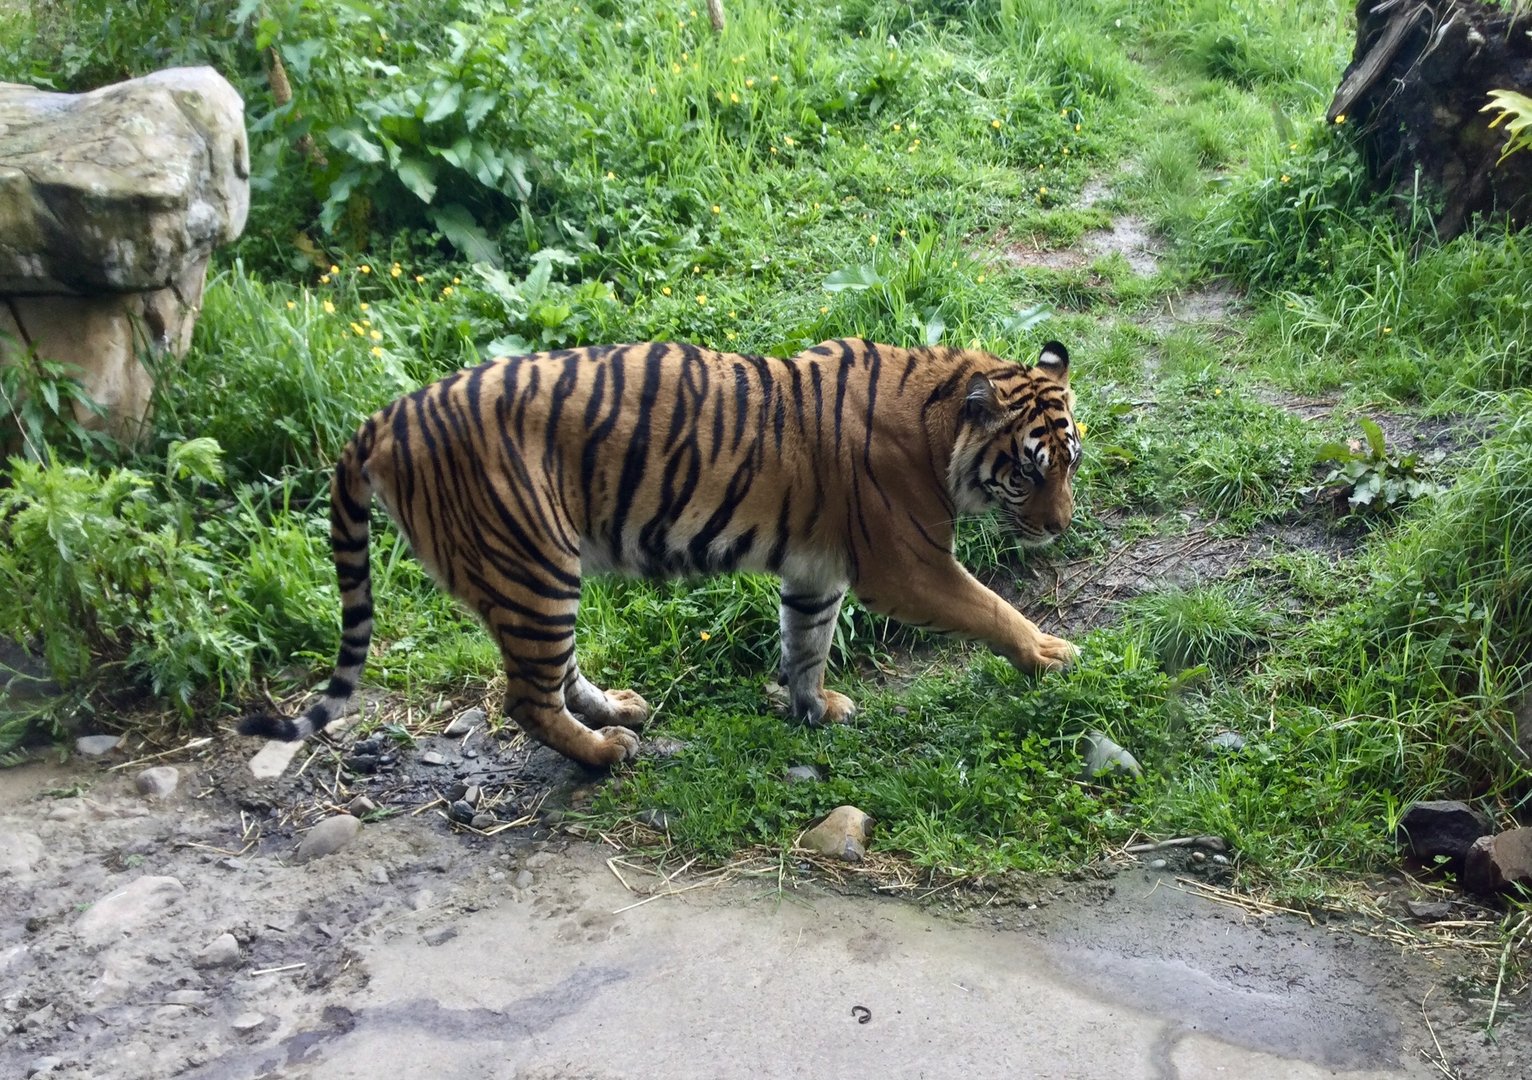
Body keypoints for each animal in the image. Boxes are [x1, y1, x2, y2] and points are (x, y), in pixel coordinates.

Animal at [239, 338, 1082, 768]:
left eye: (1071, 461)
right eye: (1030, 470)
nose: (1062, 525)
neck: (941, 420)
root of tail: (385, 418)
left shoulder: (815, 569)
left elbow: (805, 643)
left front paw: (813, 709)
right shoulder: (906, 566)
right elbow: (991, 606)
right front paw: (1050, 654)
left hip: (531, 578)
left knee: (550, 675)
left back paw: (619, 710)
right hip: (534, 566)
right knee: (525, 698)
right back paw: (604, 750)